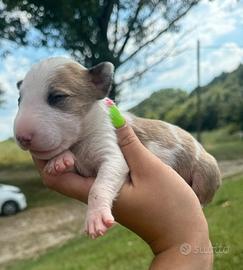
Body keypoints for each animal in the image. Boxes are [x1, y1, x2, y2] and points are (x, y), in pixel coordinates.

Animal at [14, 57, 221, 238]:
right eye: (19, 101)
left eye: (57, 97)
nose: (21, 137)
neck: (82, 142)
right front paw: (60, 160)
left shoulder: (112, 152)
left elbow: (99, 186)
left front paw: (95, 218)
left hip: (206, 170)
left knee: (202, 196)